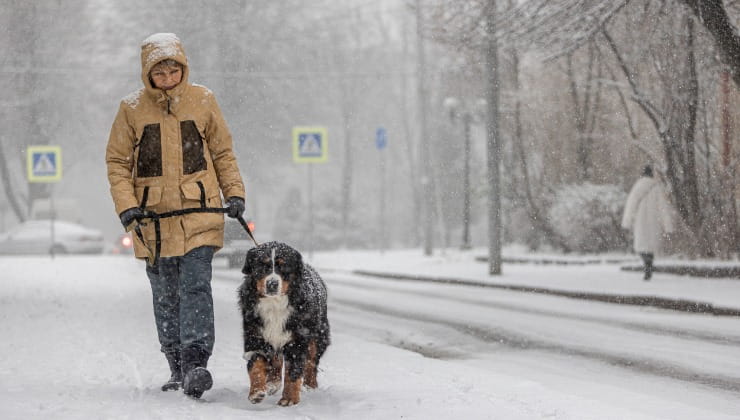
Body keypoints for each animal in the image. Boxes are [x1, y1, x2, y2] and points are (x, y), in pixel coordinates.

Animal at [238, 243, 330, 406]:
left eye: (284, 267)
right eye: (262, 266)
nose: (272, 284)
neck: (275, 304)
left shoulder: (298, 340)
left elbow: (293, 371)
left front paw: (289, 398)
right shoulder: (255, 335)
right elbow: (256, 363)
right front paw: (256, 391)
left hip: (318, 335)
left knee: (311, 362)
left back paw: (310, 385)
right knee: (276, 359)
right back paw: (272, 383)